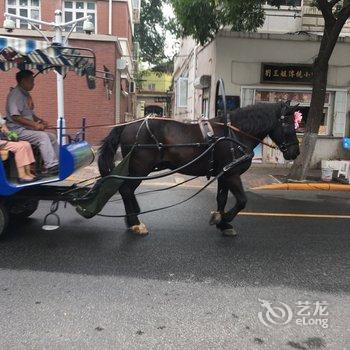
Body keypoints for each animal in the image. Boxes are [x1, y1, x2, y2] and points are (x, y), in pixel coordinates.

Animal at [99, 102, 300, 237]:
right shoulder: (232, 174)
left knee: (127, 190)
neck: (234, 135)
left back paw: (133, 217)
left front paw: (222, 223)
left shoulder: (224, 174)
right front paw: (224, 219)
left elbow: (222, 199)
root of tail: (126, 125)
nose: (295, 152)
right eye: (289, 125)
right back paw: (135, 223)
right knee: (126, 189)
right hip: (140, 168)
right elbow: (242, 201)